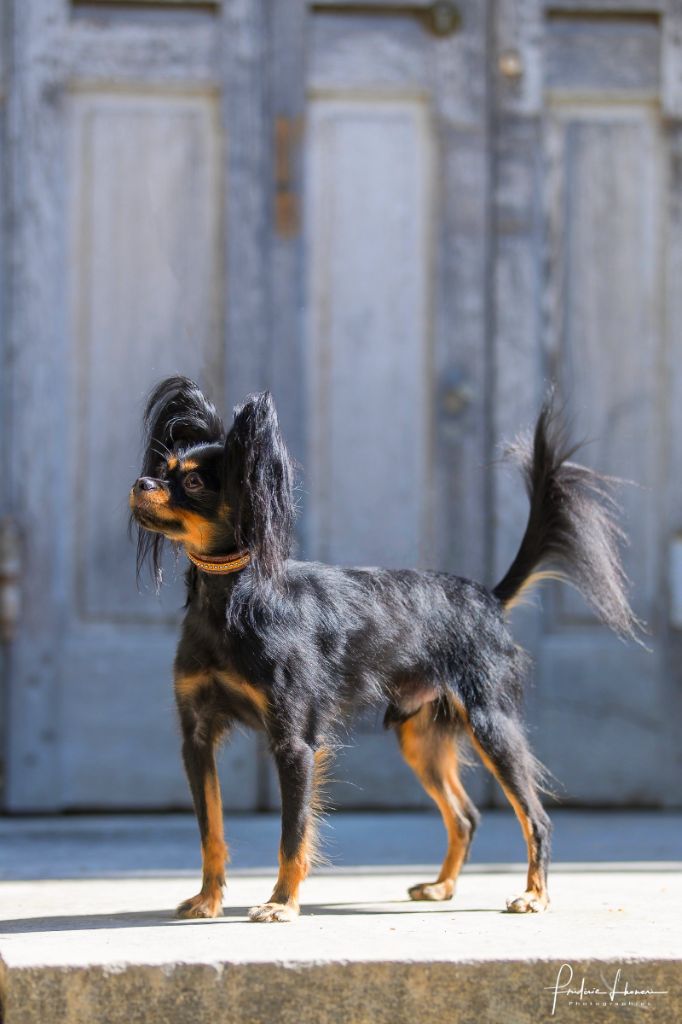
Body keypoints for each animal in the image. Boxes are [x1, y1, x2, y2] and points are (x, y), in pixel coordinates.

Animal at [129, 376, 640, 922]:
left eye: (194, 484)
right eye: (162, 470)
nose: (140, 484)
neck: (231, 600)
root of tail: (487, 596)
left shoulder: (294, 744)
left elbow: (293, 834)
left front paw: (282, 904)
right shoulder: (198, 739)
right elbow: (212, 830)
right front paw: (208, 899)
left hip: (491, 725)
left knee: (536, 816)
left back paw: (535, 895)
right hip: (421, 738)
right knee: (466, 815)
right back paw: (442, 887)